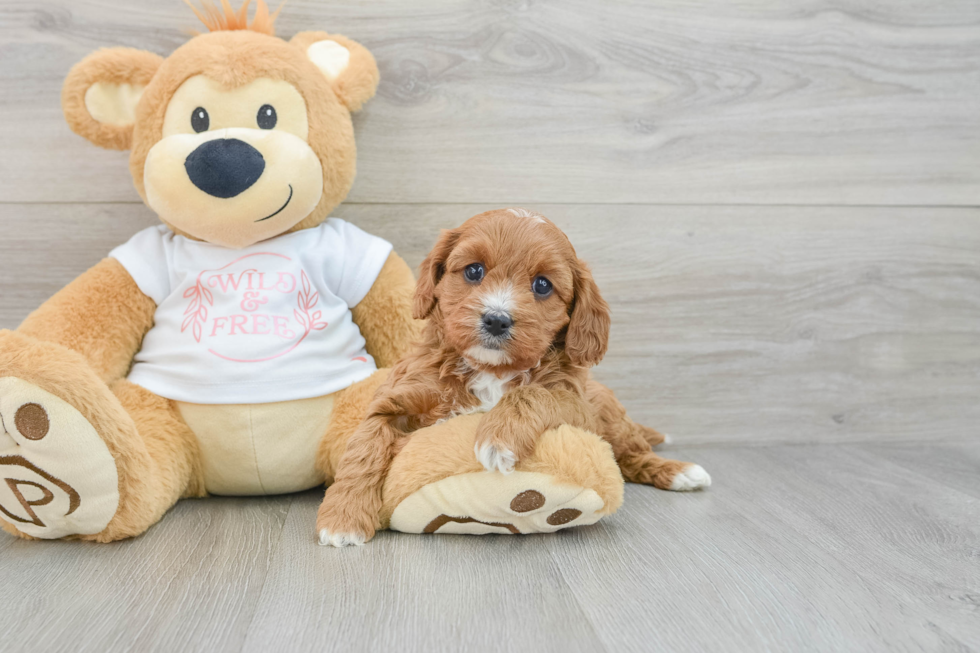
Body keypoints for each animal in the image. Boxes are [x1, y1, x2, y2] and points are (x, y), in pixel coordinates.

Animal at [318, 209, 708, 544]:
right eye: (474, 271)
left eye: (542, 285)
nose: (496, 319)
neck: (491, 370)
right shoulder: (395, 398)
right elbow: (365, 448)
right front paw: (343, 517)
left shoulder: (575, 404)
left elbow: (532, 393)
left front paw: (498, 438)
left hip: (609, 414)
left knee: (633, 453)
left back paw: (679, 472)